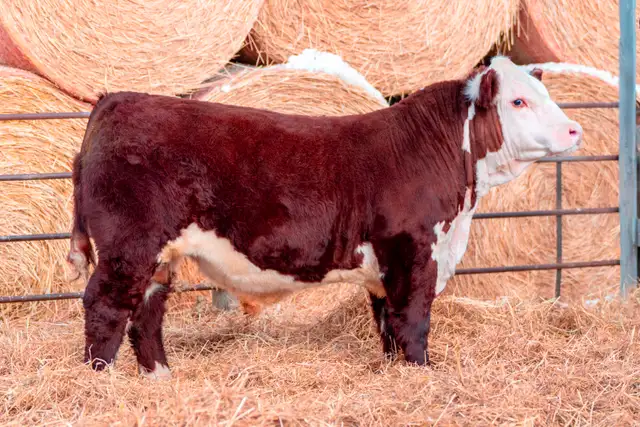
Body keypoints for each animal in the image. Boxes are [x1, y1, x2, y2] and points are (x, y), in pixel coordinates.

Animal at [67, 56, 583, 380]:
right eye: (518, 101)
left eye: (545, 93)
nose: (574, 129)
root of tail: (114, 101)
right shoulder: (413, 250)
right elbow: (414, 319)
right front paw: (421, 374)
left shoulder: (385, 268)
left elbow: (388, 323)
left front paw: (394, 372)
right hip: (130, 244)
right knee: (106, 304)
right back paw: (100, 380)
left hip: (158, 255)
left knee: (146, 310)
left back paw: (159, 376)